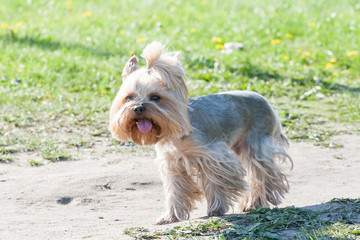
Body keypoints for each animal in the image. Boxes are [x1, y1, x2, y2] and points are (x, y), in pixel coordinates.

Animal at [109, 41, 292, 225]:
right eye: (129, 97)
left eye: (155, 97)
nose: (138, 108)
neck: (174, 132)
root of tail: (265, 100)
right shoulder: (172, 163)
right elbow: (175, 190)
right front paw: (170, 216)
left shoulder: (212, 156)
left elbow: (215, 182)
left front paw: (216, 209)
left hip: (256, 144)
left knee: (262, 173)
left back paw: (256, 201)